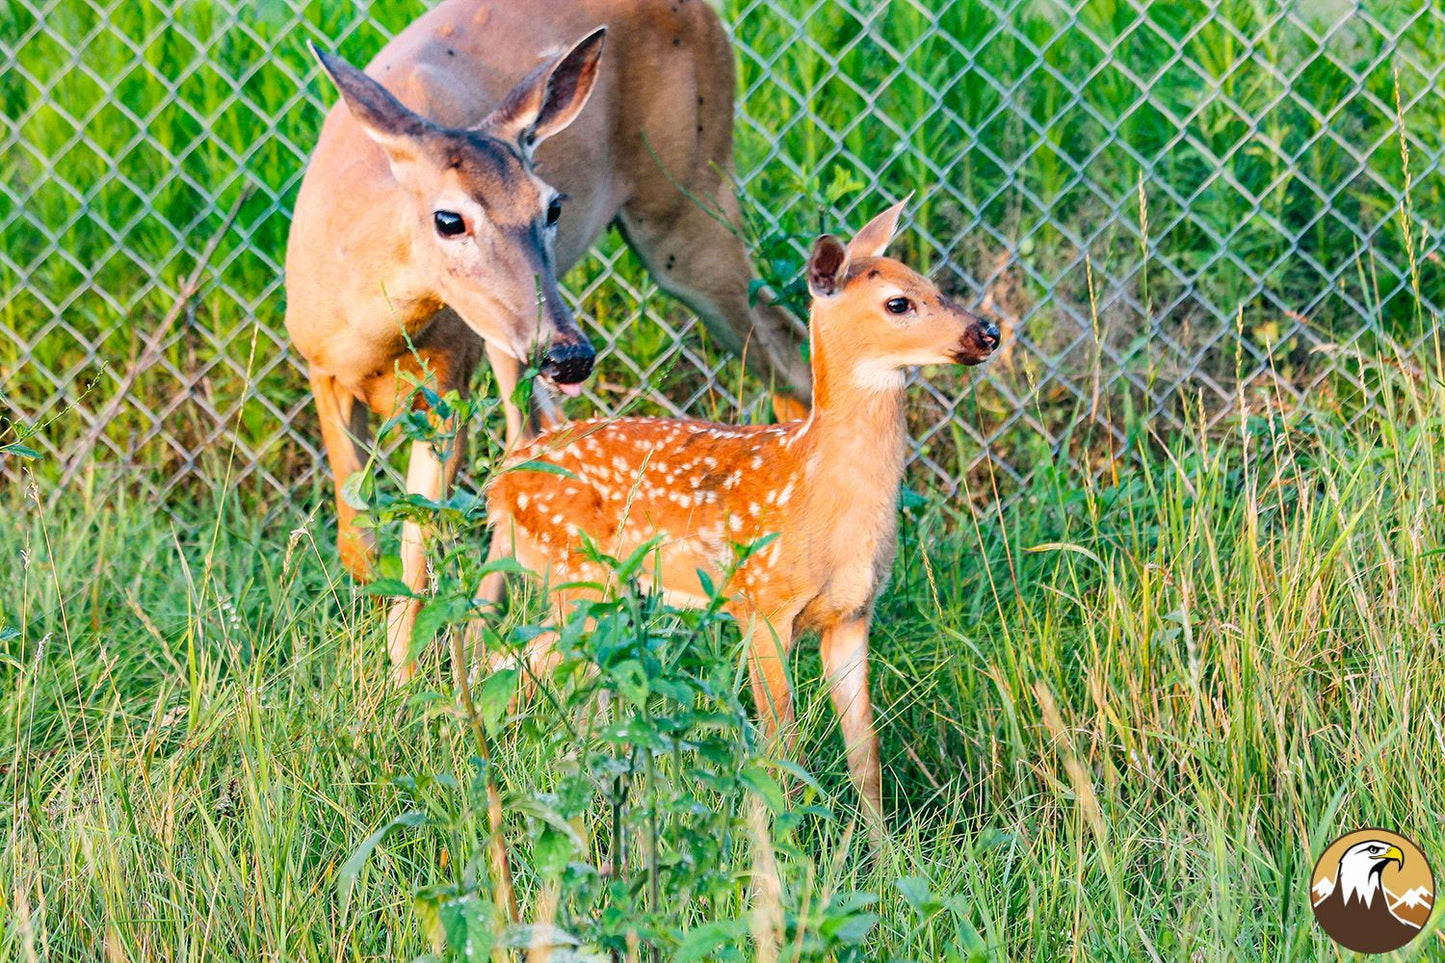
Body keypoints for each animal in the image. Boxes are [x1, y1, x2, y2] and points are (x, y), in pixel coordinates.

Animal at [284, 0, 814, 679]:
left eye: (553, 206)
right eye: (449, 219)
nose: (572, 354)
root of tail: (709, 18)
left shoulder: (450, 381)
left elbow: (416, 546)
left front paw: (399, 687)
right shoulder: (322, 371)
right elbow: (361, 541)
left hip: (683, 205)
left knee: (787, 349)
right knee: (534, 434)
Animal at [485, 200, 1005, 838]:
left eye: (934, 286)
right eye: (898, 303)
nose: (987, 332)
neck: (818, 493)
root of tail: (503, 476)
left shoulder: (853, 614)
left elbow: (867, 756)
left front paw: (882, 853)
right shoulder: (760, 605)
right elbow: (782, 749)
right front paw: (786, 845)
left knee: (525, 668)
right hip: (575, 574)